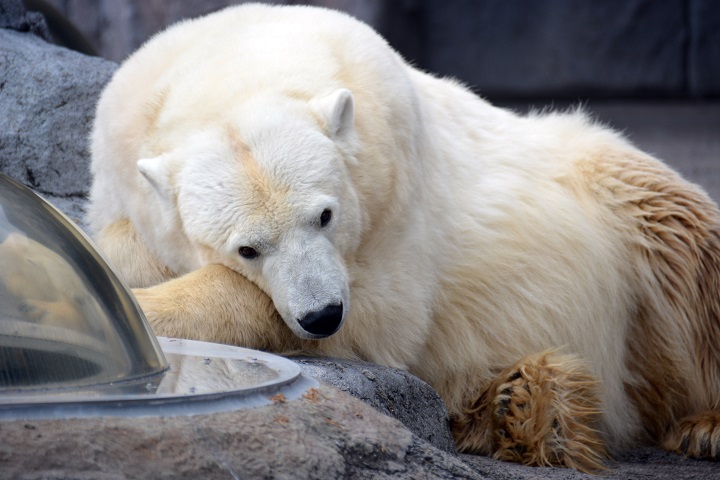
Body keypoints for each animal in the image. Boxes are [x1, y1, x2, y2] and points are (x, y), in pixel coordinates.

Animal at [87, 1, 720, 470]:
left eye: (325, 215)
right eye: (247, 247)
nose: (322, 315)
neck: (233, 67)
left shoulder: (394, 177)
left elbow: (385, 314)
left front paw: (147, 314)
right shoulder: (122, 170)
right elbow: (117, 246)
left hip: (618, 197)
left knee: (685, 248)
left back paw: (699, 426)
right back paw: (524, 406)